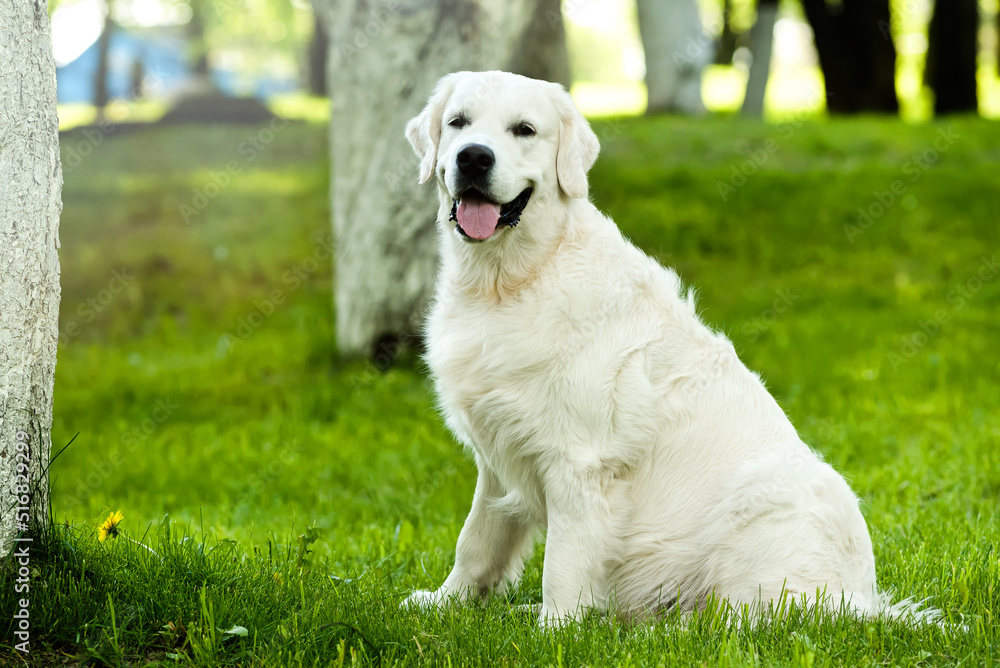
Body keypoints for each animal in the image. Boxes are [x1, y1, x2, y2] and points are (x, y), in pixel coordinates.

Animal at [402, 70, 924, 624]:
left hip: (766, 495)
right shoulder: (496, 456)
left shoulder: (580, 462)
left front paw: (556, 628)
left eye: (524, 129)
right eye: (459, 122)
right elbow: (476, 540)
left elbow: (563, 562)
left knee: (749, 619)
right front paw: (444, 603)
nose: (474, 158)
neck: (513, 279)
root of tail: (862, 602)